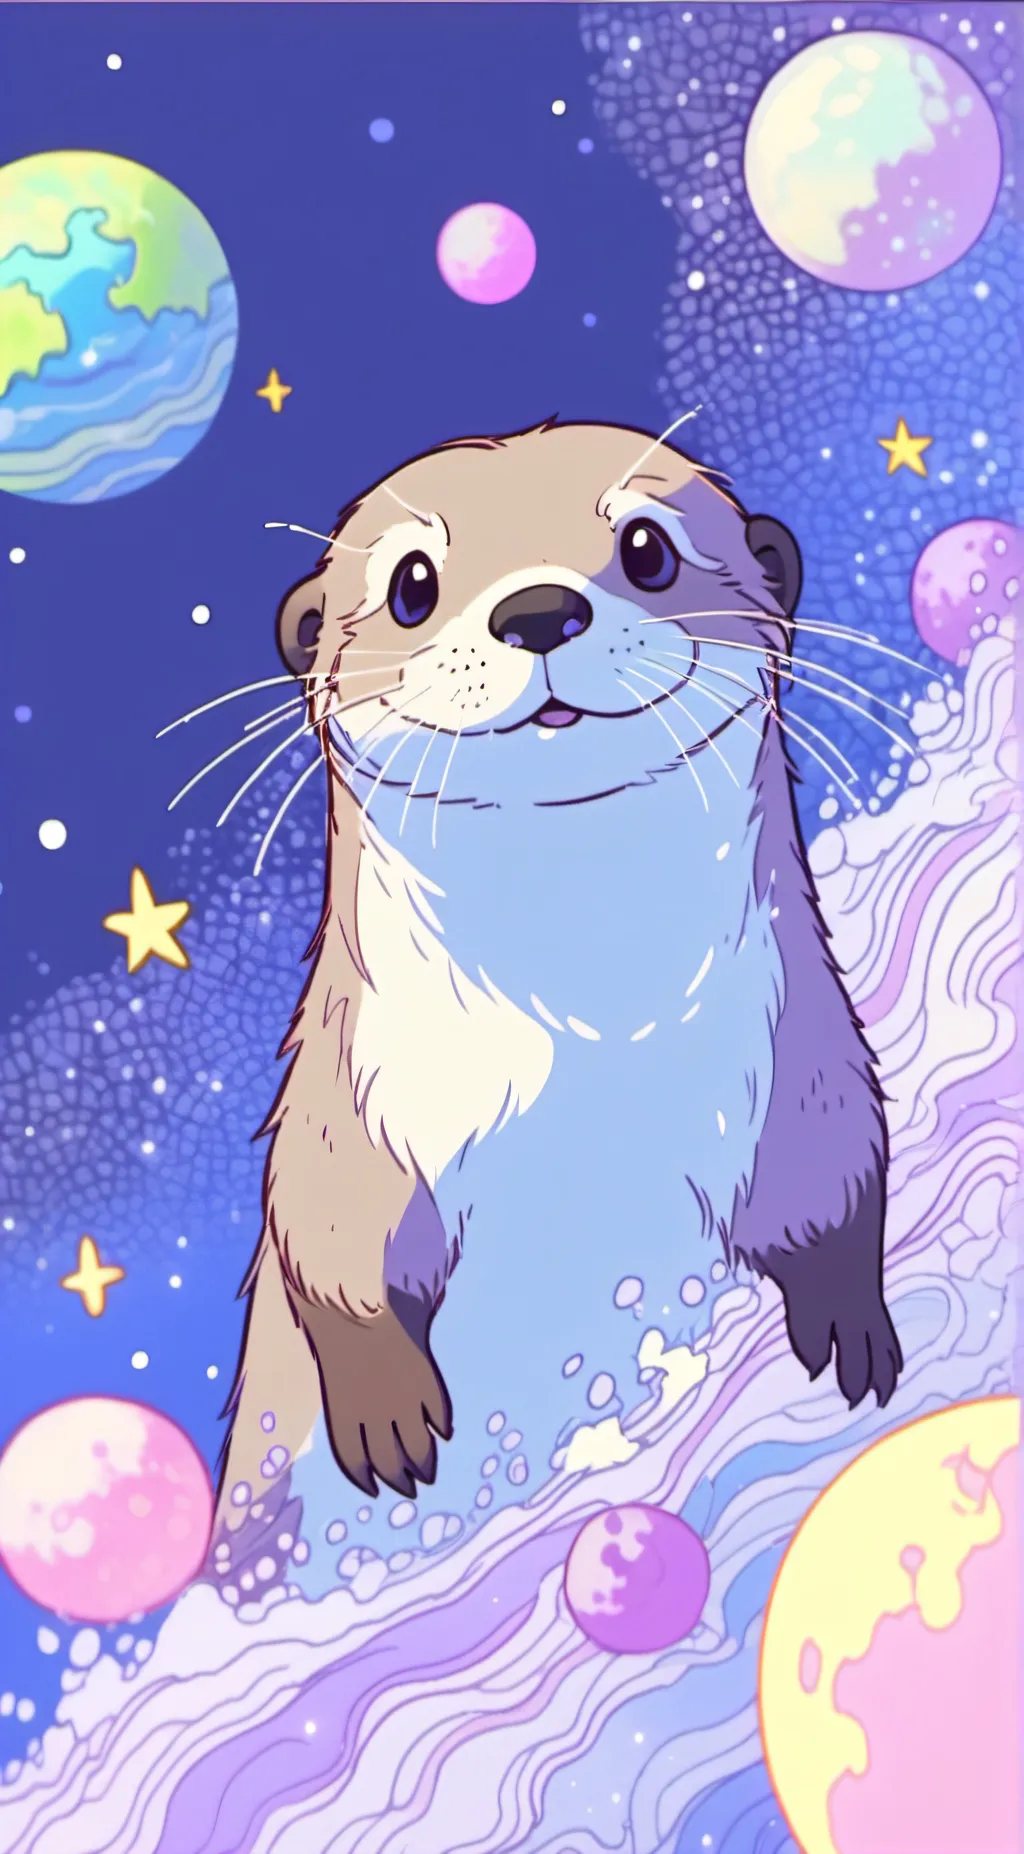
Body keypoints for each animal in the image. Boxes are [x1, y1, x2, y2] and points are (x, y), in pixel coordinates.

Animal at [214, 417, 902, 1535]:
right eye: (411, 582)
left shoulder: (802, 1057)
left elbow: (838, 1184)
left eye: (646, 547)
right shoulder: (353, 1105)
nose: (538, 610)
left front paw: (851, 1325)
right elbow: (325, 1246)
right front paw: (385, 1417)